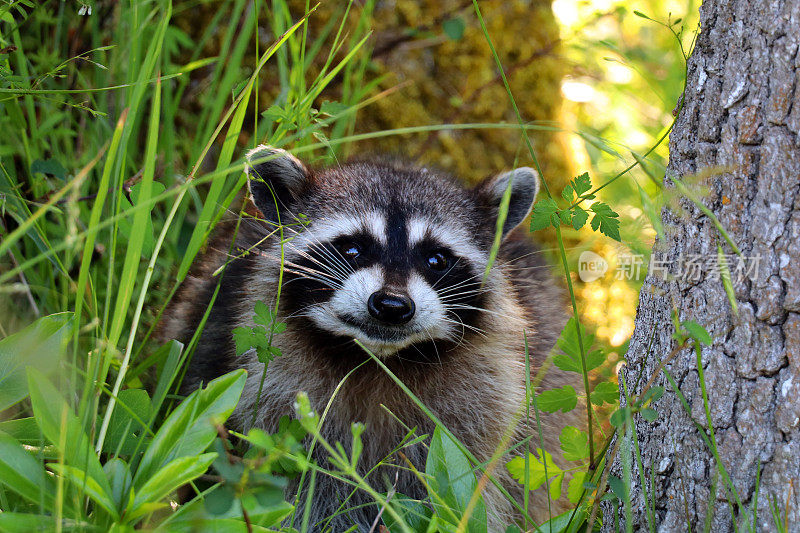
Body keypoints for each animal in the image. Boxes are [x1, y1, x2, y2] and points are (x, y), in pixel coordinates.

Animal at [162, 144, 576, 528]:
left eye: (436, 259)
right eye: (352, 247)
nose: (392, 305)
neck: (377, 359)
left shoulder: (489, 398)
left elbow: (481, 485)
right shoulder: (261, 379)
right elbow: (300, 486)